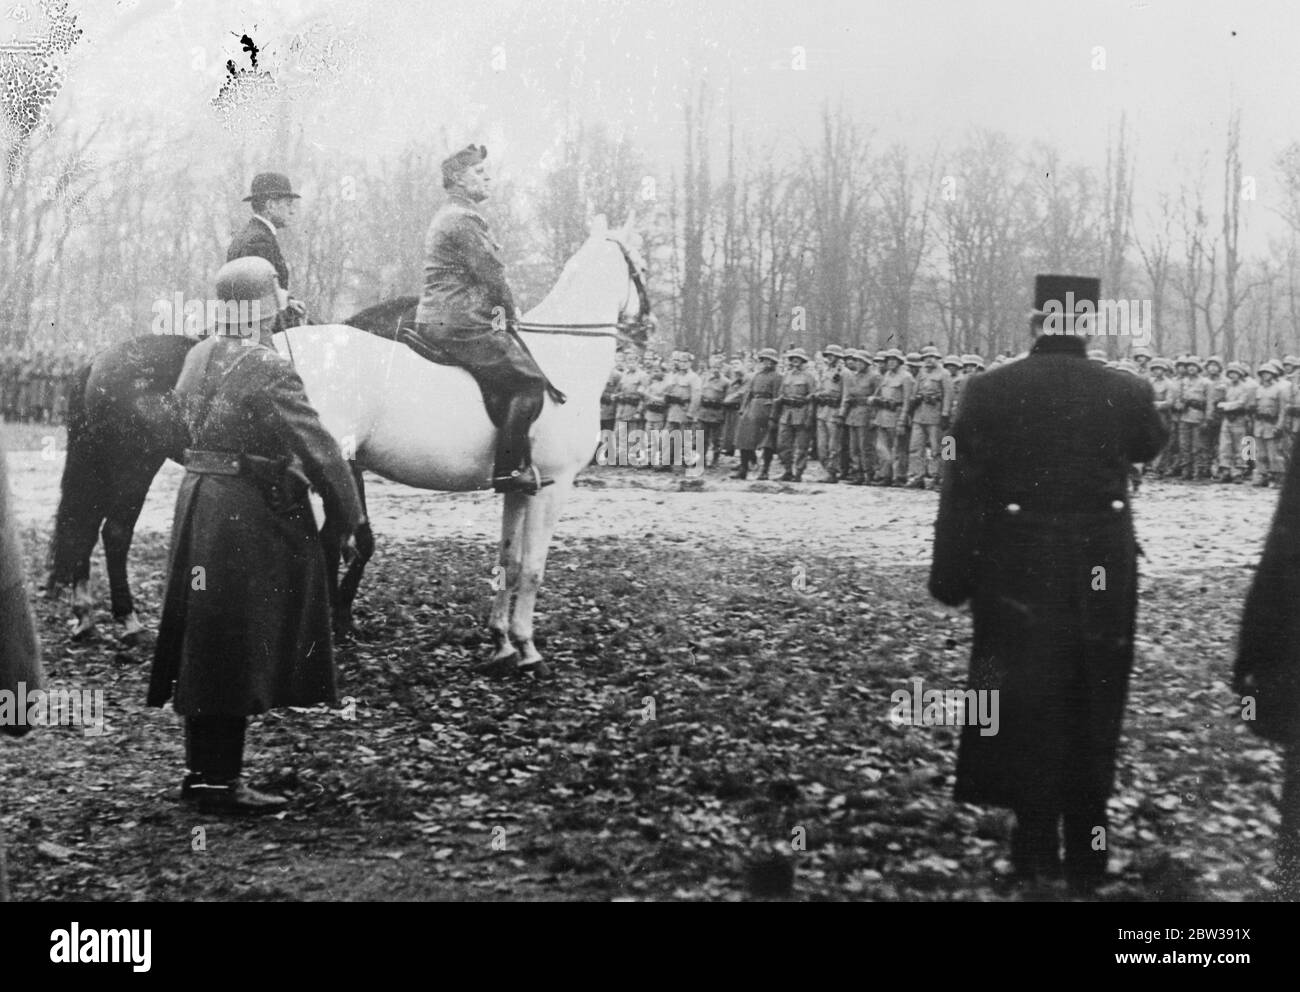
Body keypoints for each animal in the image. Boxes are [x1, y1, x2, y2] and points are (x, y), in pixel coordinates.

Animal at [45, 296, 413, 644]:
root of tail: (99, 360)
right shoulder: (344, 466)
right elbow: (348, 538)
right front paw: (340, 618)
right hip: (134, 463)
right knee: (115, 532)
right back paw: (128, 621)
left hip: (102, 462)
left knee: (84, 525)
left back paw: (85, 615)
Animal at [275, 215, 650, 681]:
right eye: (642, 264)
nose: (648, 326)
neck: (566, 354)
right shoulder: (555, 485)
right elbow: (533, 568)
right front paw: (528, 648)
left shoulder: (521, 487)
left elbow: (509, 561)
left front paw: (502, 642)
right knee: (325, 543)